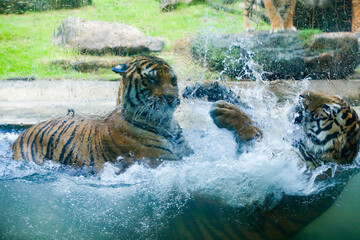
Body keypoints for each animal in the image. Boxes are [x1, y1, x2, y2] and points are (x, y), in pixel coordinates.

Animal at [11, 55, 193, 172]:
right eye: (152, 79)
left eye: (173, 79)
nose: (171, 98)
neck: (165, 123)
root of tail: (21, 135)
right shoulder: (162, 159)